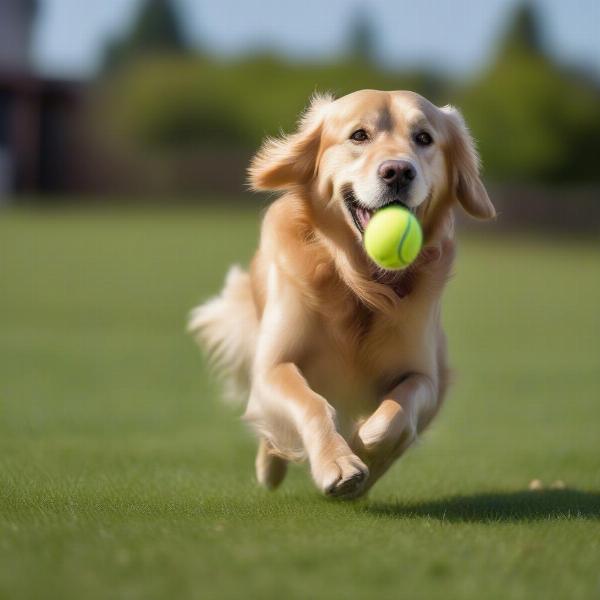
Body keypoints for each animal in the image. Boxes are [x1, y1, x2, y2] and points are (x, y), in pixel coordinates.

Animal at [190, 89, 494, 500]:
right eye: (359, 136)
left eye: (424, 138)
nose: (398, 171)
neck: (361, 284)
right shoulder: (274, 367)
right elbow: (311, 404)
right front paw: (338, 463)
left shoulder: (427, 376)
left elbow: (395, 418)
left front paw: (363, 448)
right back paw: (271, 465)